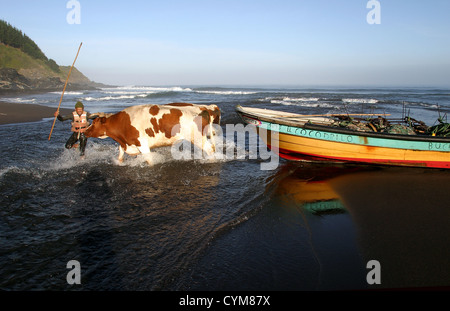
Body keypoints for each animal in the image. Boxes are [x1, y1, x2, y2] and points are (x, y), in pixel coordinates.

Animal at [85, 103, 221, 165]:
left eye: (94, 122)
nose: (85, 131)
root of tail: (203, 108)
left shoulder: (143, 145)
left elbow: (149, 160)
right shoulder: (127, 144)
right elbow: (120, 153)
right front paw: (120, 162)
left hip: (197, 138)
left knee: (210, 149)